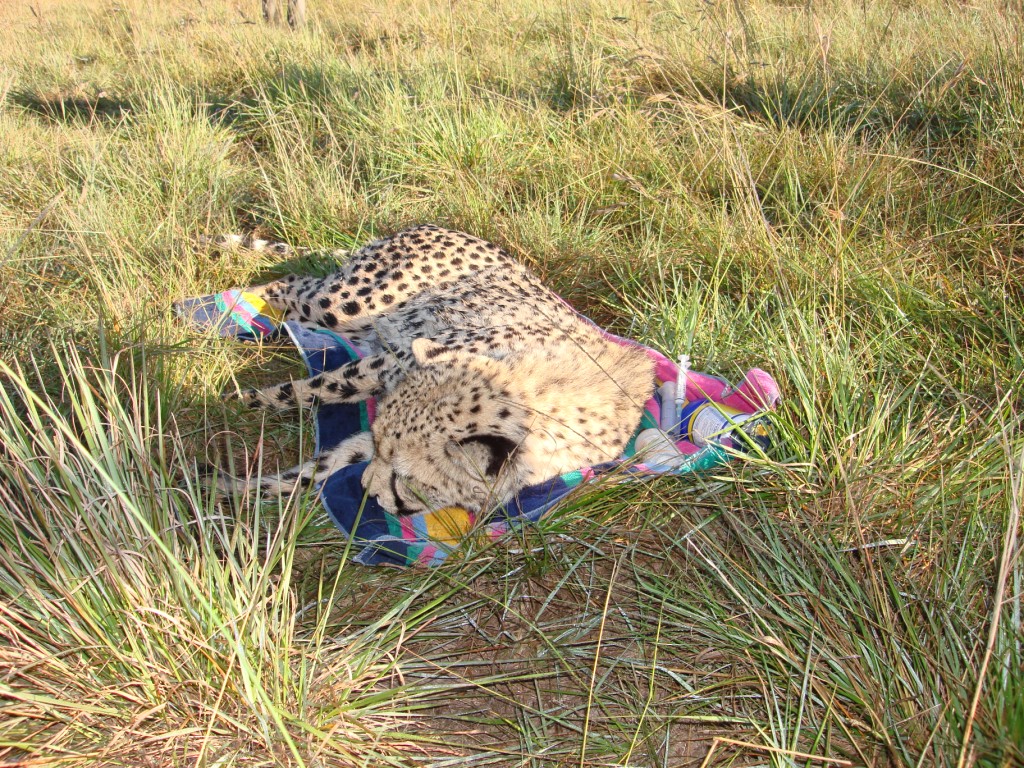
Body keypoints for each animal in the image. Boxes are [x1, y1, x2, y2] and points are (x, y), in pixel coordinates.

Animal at [206, 225, 655, 516]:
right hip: (347, 303)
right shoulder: (391, 361)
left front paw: (229, 489)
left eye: (406, 480)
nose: (366, 493)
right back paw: (221, 322)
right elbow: (316, 388)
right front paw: (232, 405)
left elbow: (322, 464)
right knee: (285, 283)